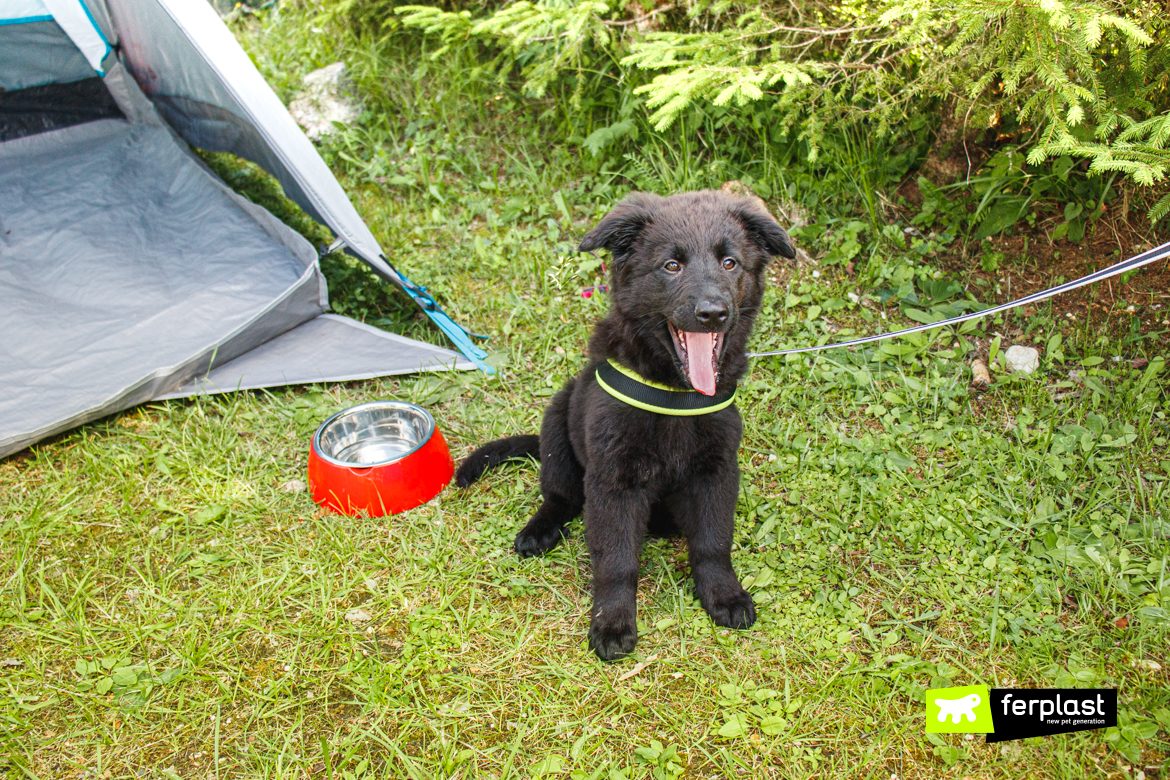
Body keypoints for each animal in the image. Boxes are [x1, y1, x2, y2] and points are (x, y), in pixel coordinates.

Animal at [456, 189, 795, 659]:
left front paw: (723, 595)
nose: (713, 313)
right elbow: (616, 562)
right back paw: (540, 529)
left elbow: (712, 542)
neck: (673, 394)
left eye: (730, 263)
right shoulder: (613, 482)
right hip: (558, 423)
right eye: (671, 266)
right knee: (560, 496)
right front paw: (613, 622)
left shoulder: (716, 472)